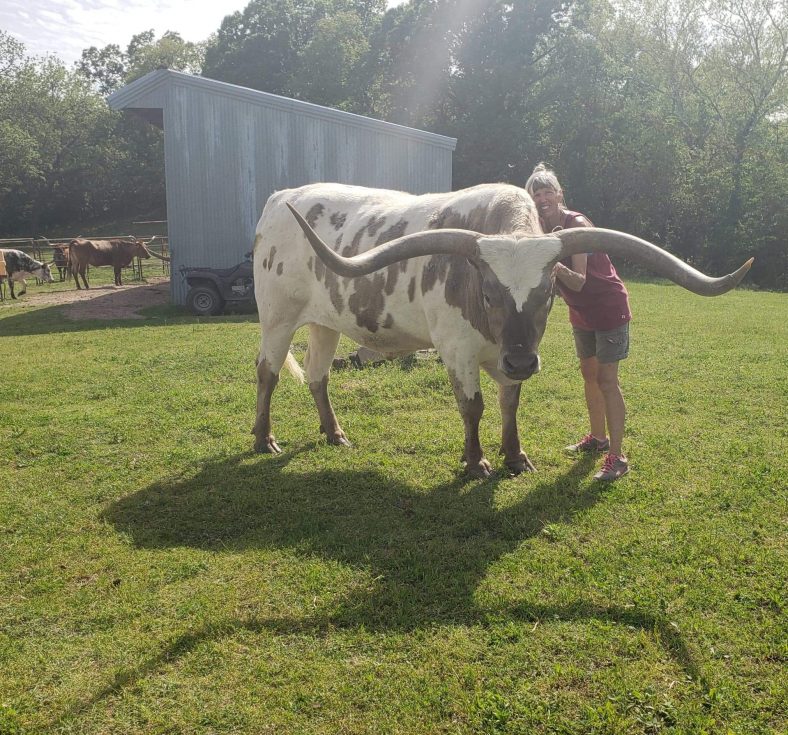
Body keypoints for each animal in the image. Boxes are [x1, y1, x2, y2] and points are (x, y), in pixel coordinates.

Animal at [252, 184, 752, 478]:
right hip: (277, 317)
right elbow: (471, 407)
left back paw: (334, 434)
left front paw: (516, 457)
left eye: (548, 292)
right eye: (489, 293)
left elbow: (510, 404)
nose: (521, 359)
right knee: (267, 372)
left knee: (318, 374)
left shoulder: (513, 357)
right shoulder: (457, 351)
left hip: (324, 322)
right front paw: (476, 462)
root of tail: (280, 198)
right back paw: (264, 439)